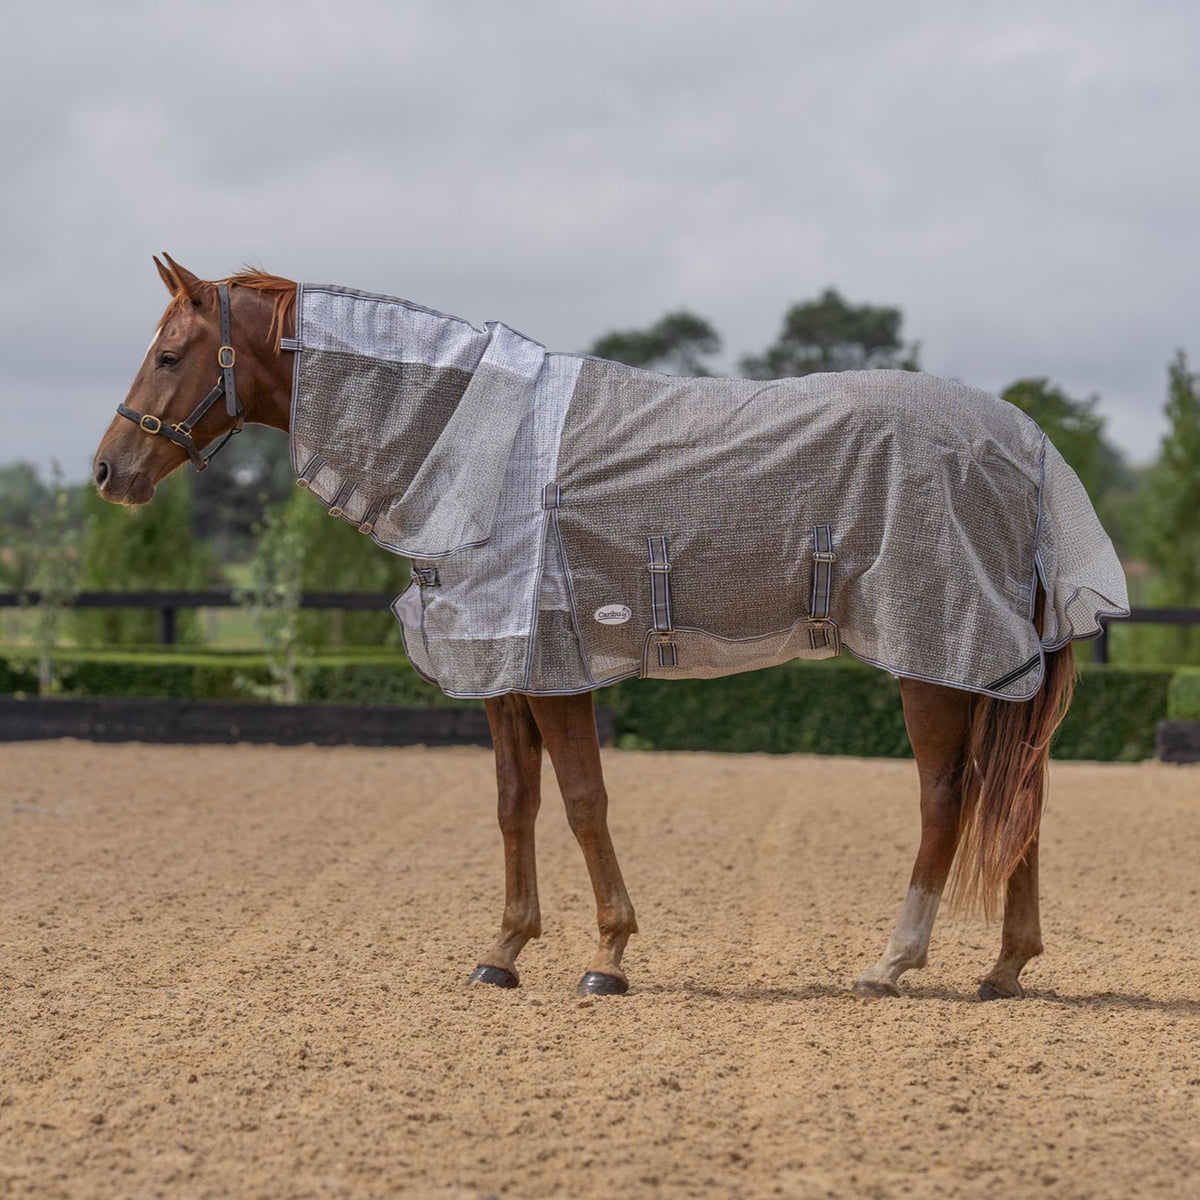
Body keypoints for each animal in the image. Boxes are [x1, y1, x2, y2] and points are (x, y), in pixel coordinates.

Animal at [92, 254, 1126, 1001]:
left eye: (172, 354)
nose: (110, 472)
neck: (472, 442)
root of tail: (1026, 445)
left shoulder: (553, 664)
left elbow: (585, 802)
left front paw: (610, 956)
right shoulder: (502, 669)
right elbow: (516, 803)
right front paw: (503, 950)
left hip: (936, 655)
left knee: (949, 799)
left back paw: (893, 962)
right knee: (1017, 793)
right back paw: (1004, 968)